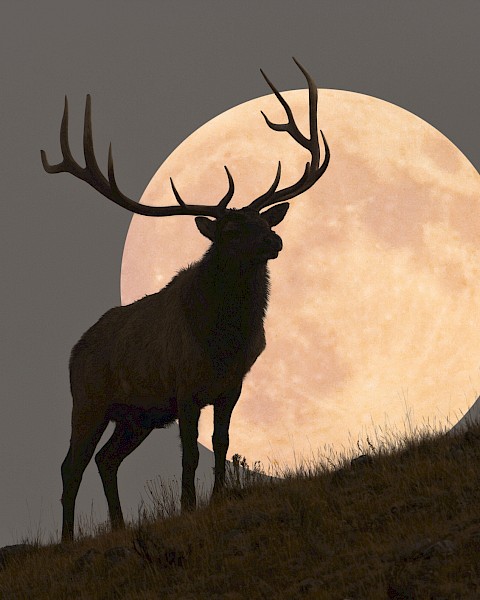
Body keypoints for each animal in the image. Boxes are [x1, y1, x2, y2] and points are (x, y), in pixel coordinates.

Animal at [41, 58, 330, 540]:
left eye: (262, 220)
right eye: (231, 229)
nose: (274, 241)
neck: (223, 339)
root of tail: (73, 351)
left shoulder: (231, 385)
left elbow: (222, 443)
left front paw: (217, 498)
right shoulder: (185, 386)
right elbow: (190, 455)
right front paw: (188, 506)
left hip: (136, 415)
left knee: (106, 460)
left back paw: (119, 525)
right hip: (88, 398)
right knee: (71, 466)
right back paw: (67, 539)